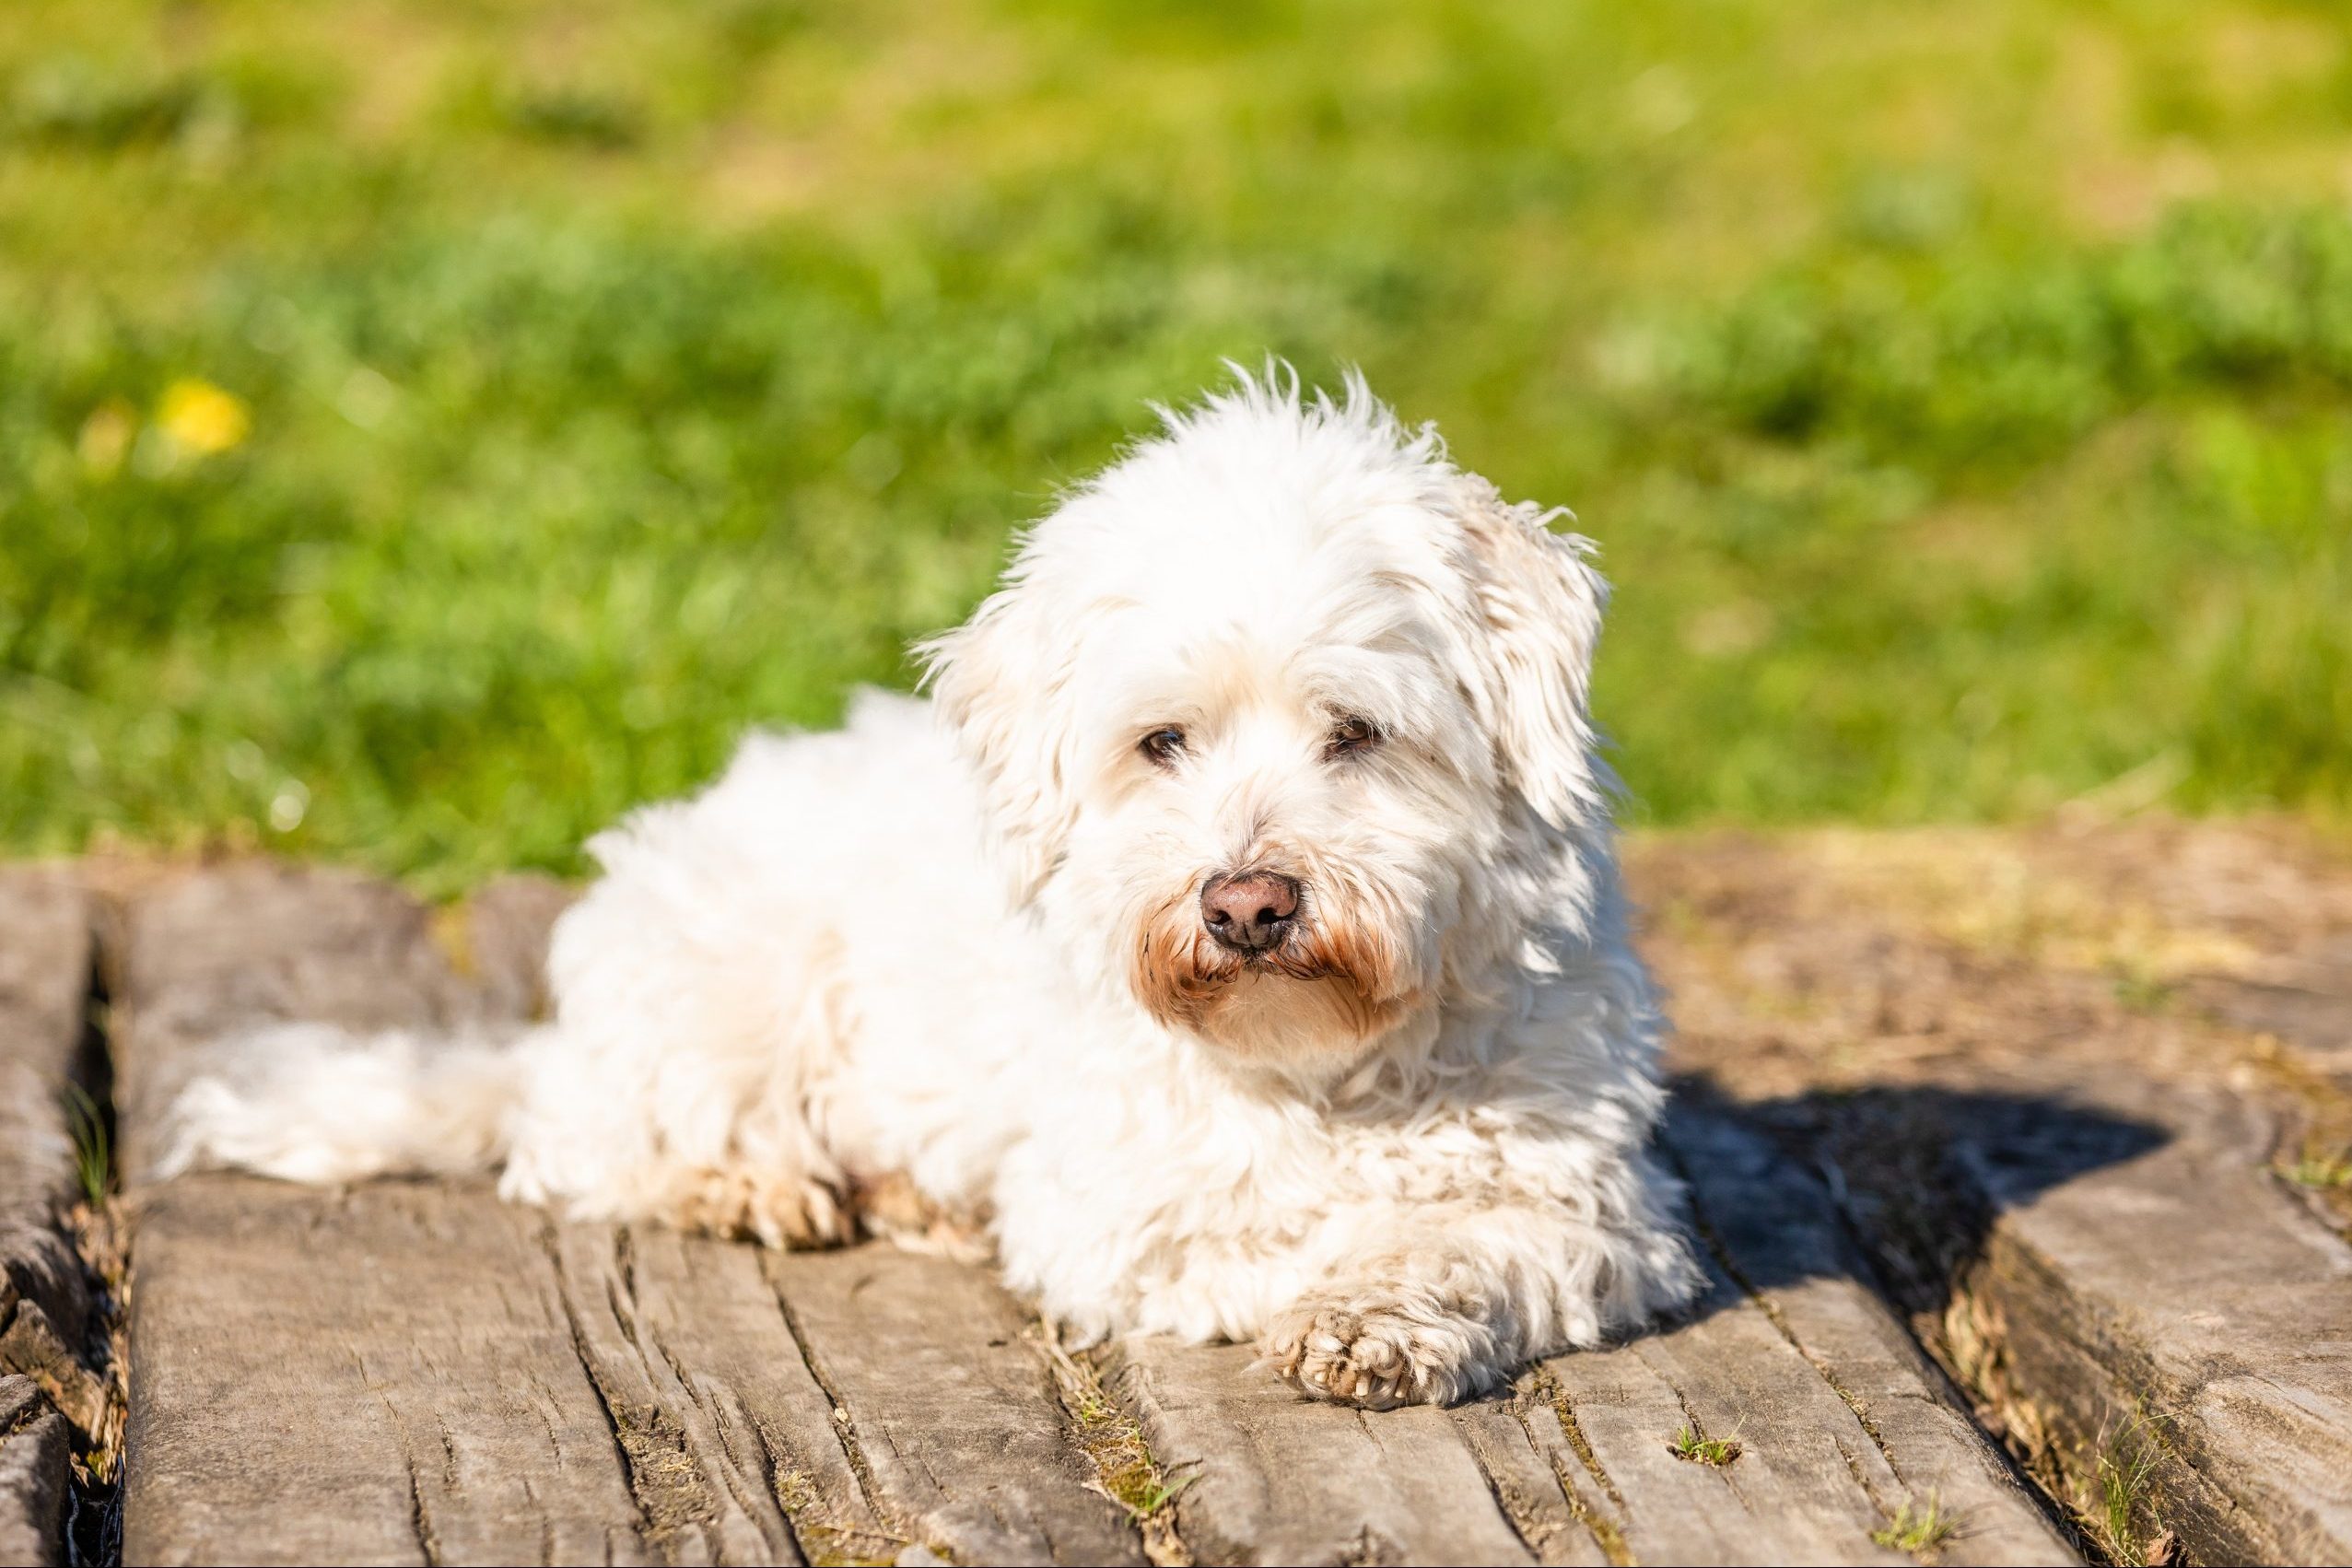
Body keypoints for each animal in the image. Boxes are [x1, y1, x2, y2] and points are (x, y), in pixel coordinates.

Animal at [170, 371, 1712, 1410]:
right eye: (1163, 741)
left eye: (1357, 731)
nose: (1246, 904)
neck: (1321, 1066)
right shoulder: (1116, 1215)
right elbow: (1254, 1234)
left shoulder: (1598, 1206)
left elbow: (1474, 1235)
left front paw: (1382, 1305)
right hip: (732, 988)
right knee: (582, 1144)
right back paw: (755, 1181)